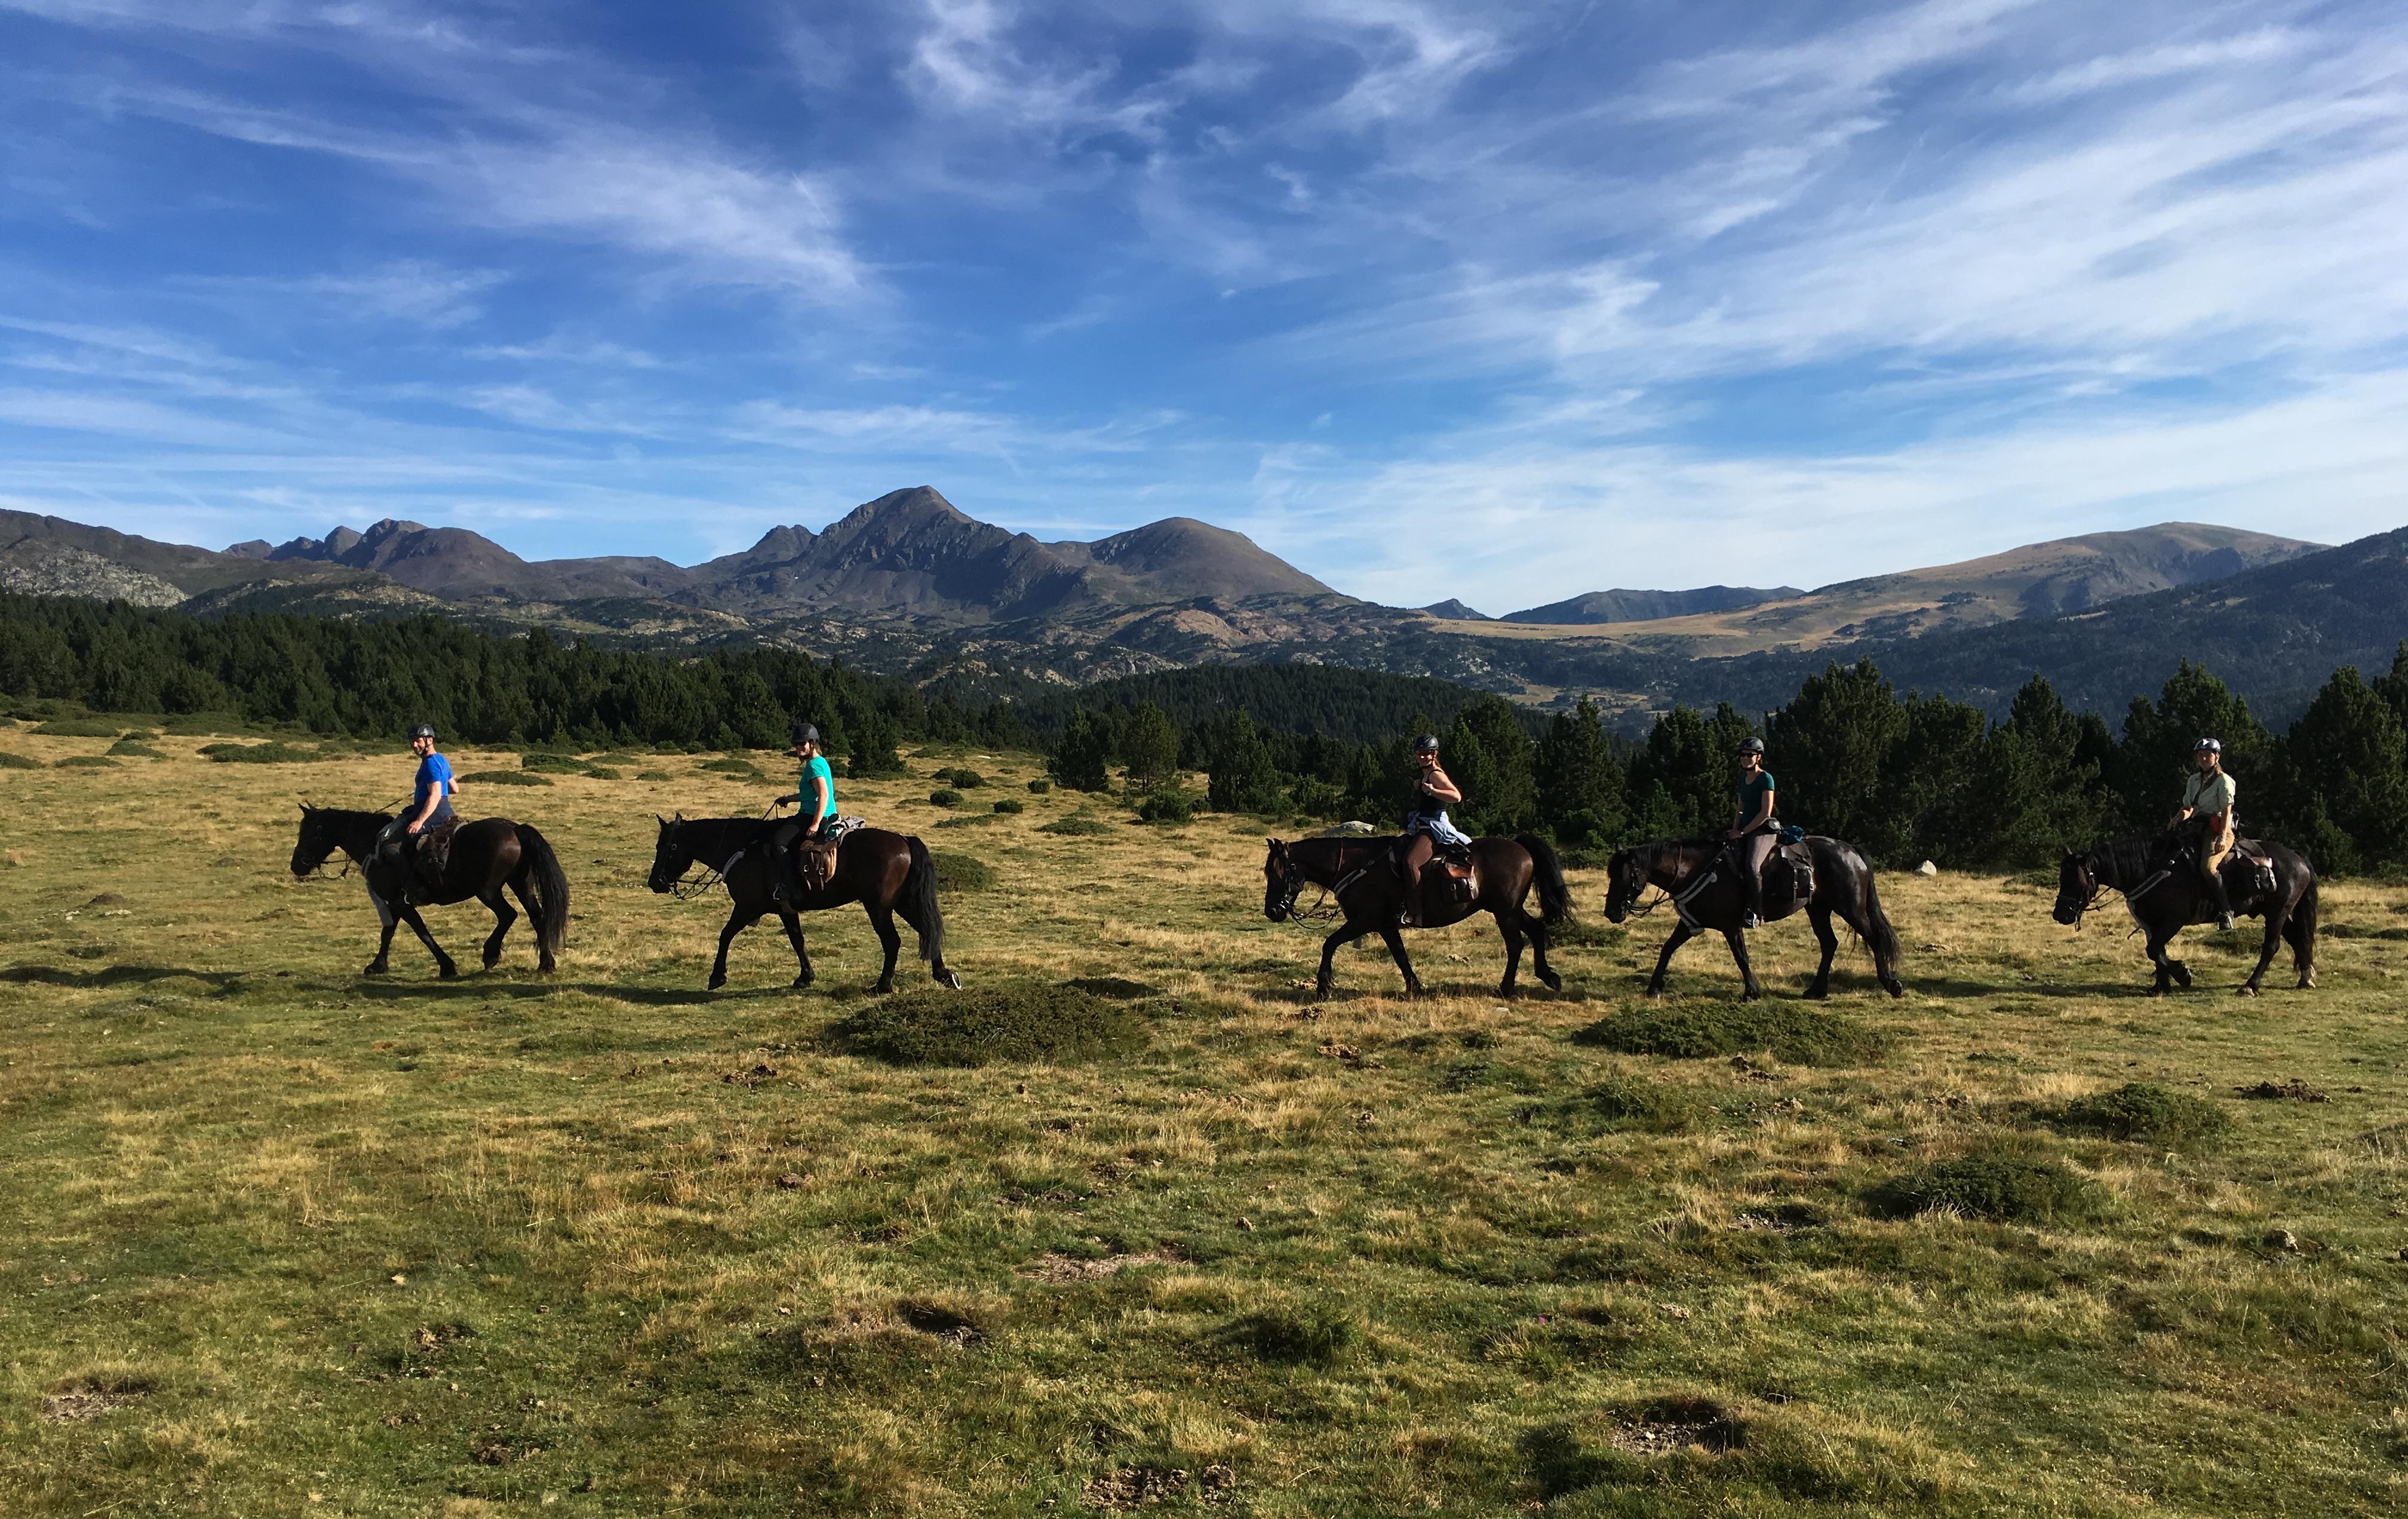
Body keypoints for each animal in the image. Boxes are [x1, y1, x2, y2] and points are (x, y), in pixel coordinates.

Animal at [288, 804, 570, 982]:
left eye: (308, 833)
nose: (296, 865)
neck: (374, 846)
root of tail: (514, 828)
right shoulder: (394, 903)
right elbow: (388, 932)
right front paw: (378, 965)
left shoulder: (399, 902)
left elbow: (419, 931)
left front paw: (447, 966)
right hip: (521, 885)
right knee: (538, 917)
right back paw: (546, 963)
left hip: (488, 891)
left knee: (508, 915)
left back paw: (491, 954)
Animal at [659, 814, 968, 992]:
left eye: (664, 847)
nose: (655, 882)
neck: (744, 849)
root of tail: (904, 840)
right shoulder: (784, 910)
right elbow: (798, 940)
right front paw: (805, 977)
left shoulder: (747, 907)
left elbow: (725, 935)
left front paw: (717, 976)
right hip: (902, 902)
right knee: (927, 930)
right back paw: (944, 975)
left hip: (879, 906)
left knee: (892, 941)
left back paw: (883, 986)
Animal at [1261, 833, 1579, 996]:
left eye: (1277, 872)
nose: (1272, 911)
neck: (1356, 866)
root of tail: (1520, 846)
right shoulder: (1385, 925)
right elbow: (1400, 955)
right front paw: (1415, 986)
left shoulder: (1364, 921)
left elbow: (1329, 944)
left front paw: (1324, 986)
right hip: (1511, 909)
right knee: (1536, 931)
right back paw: (1549, 976)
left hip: (1505, 912)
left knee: (1515, 944)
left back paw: (1506, 988)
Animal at [1599, 837, 1897, 1006]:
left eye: (1624, 876)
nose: (1611, 912)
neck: (1698, 871)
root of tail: (1851, 850)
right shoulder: (1690, 923)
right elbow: (1667, 949)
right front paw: (1654, 987)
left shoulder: (1730, 926)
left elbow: (1741, 957)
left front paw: (1751, 992)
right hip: (1819, 909)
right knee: (1829, 944)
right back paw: (1817, 990)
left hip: (1850, 908)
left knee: (1874, 938)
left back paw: (1891, 984)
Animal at [2051, 833, 2311, 996]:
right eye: (2062, 877)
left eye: (2076, 879)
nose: (2060, 915)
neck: (2154, 870)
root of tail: (2299, 859)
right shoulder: (2151, 923)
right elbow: (2157, 951)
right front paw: (2160, 986)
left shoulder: (2174, 921)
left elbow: (2154, 950)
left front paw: (2183, 975)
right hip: (2274, 912)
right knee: (2298, 938)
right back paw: (2306, 978)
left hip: (2278, 912)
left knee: (2271, 947)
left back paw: (2250, 986)